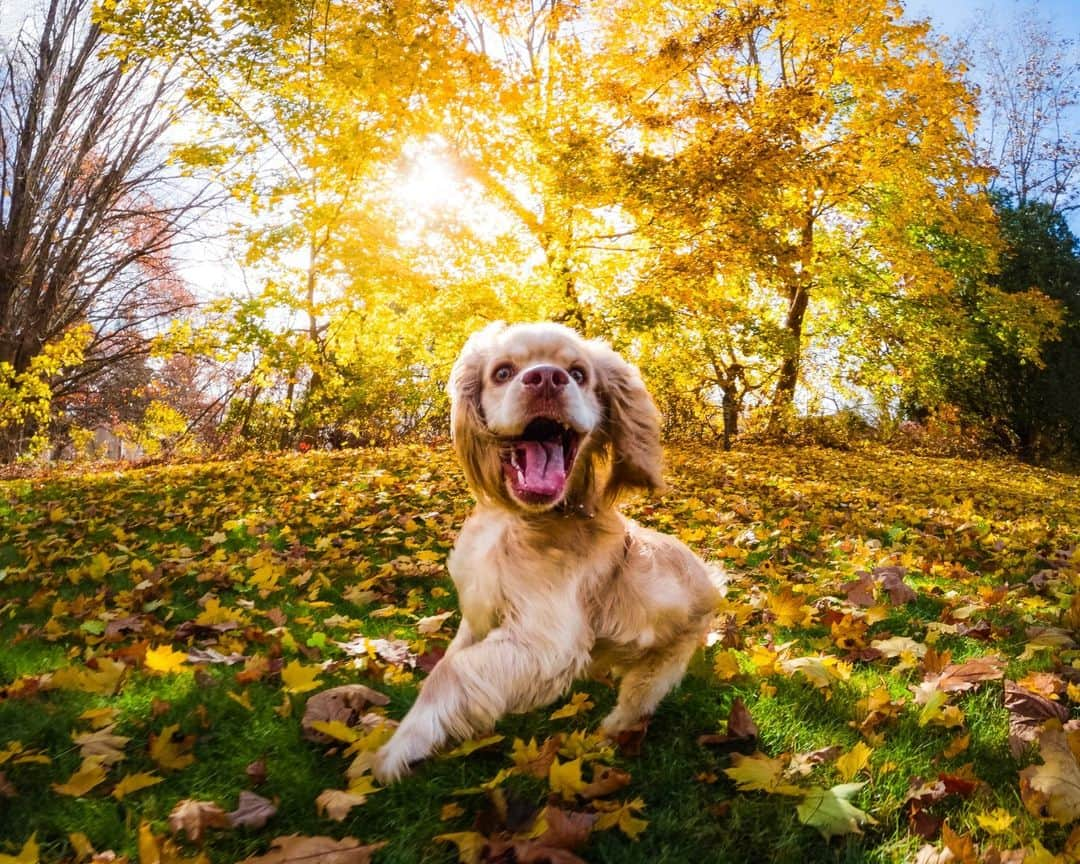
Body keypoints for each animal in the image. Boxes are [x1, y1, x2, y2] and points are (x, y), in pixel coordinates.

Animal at [373, 319, 725, 781]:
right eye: (502, 372)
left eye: (578, 373)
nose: (546, 378)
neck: (518, 522)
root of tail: (713, 579)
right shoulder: (480, 615)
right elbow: (453, 655)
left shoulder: (547, 642)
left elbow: (450, 672)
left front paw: (401, 746)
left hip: (660, 667)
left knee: (635, 704)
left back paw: (608, 736)